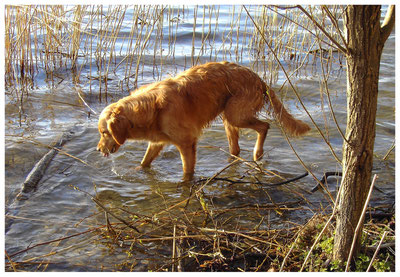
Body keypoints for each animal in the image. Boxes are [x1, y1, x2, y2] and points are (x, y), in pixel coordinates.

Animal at [96, 61, 310, 180]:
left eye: (104, 132)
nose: (98, 149)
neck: (153, 109)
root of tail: (259, 79)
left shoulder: (187, 142)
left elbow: (187, 171)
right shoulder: (157, 142)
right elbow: (144, 162)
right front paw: (136, 171)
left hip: (236, 114)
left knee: (265, 126)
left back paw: (258, 153)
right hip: (228, 118)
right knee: (236, 149)